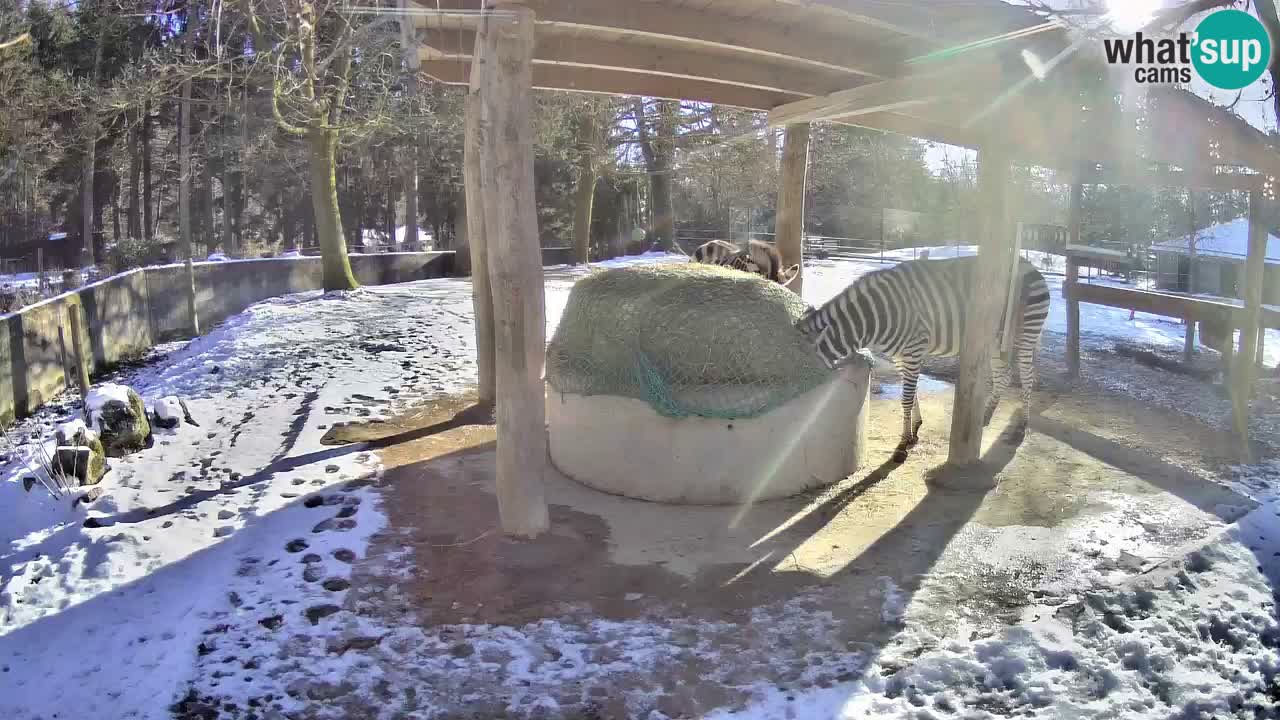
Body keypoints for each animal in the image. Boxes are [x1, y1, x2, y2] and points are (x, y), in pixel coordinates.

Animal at [798, 254, 1049, 461]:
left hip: (1026, 332)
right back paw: (986, 415)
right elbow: (912, 393)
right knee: (1003, 375)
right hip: (996, 340)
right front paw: (914, 430)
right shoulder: (900, 356)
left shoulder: (914, 350)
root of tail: (1029, 264)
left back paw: (1022, 425)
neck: (874, 319)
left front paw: (902, 444)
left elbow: (907, 397)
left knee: (1027, 376)